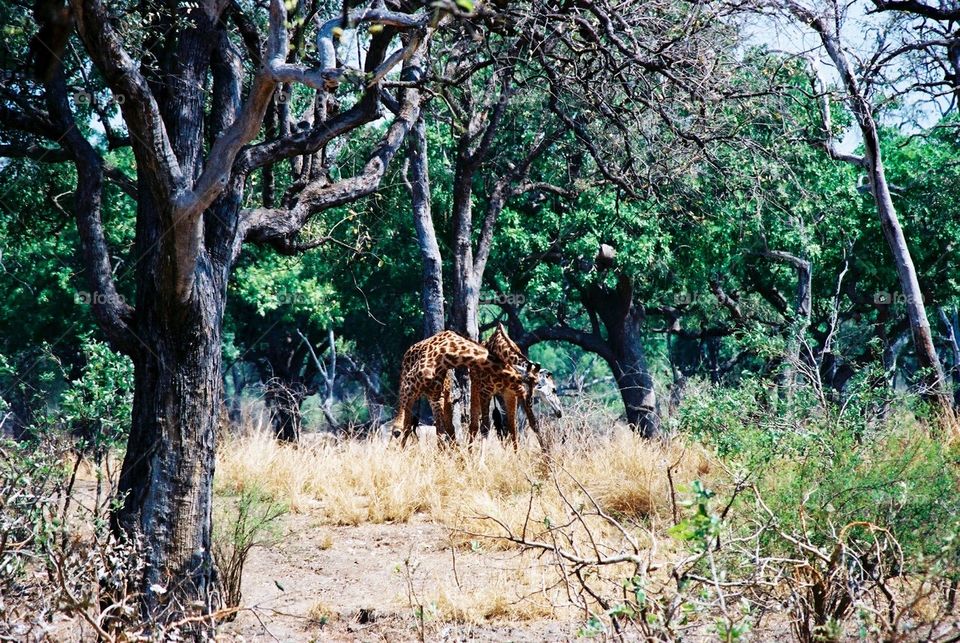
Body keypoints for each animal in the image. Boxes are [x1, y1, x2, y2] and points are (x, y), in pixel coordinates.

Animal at [392, 332, 540, 448]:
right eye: (532, 382)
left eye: (537, 383)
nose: (530, 399)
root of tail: (409, 350)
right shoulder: (408, 385)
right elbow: (397, 429)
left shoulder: (435, 395)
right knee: (407, 425)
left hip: (439, 396)